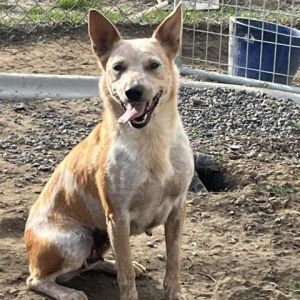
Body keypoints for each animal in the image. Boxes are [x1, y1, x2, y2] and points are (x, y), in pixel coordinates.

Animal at [25, 2, 195, 300]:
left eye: (154, 65)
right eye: (118, 67)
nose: (133, 92)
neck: (152, 141)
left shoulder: (178, 208)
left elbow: (173, 260)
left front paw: (174, 293)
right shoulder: (118, 217)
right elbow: (125, 276)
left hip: (98, 237)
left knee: (90, 264)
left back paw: (108, 265)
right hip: (75, 238)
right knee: (37, 279)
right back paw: (70, 293)